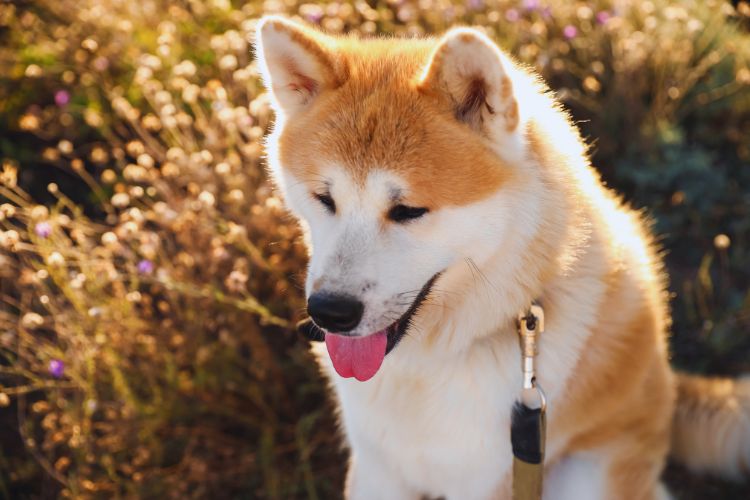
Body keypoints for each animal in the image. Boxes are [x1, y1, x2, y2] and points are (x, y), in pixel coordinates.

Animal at [254, 16, 750, 500]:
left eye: (408, 210)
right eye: (324, 199)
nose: (329, 312)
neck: (431, 362)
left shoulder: (491, 476)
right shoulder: (378, 470)